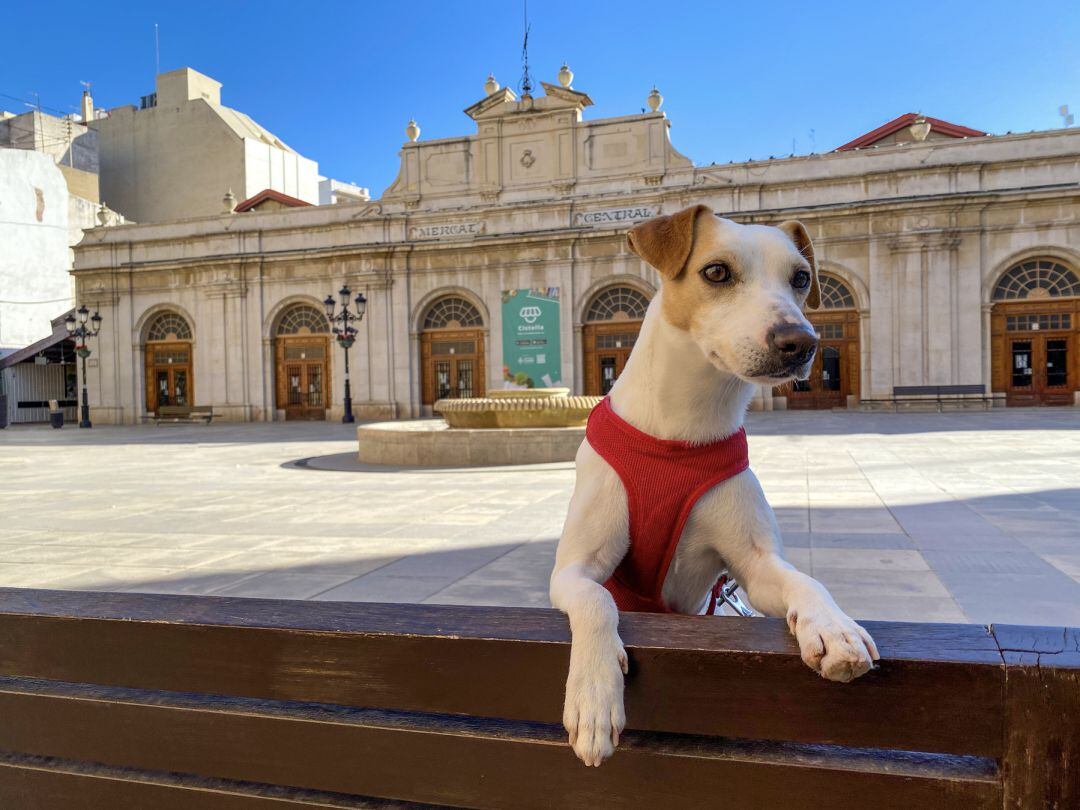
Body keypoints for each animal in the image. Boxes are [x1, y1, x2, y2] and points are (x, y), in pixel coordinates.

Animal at [548, 203, 876, 768]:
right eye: (716, 272)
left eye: (801, 278)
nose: (801, 342)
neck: (684, 429)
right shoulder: (573, 570)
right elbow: (597, 599)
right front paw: (593, 696)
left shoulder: (756, 569)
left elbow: (805, 582)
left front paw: (834, 628)